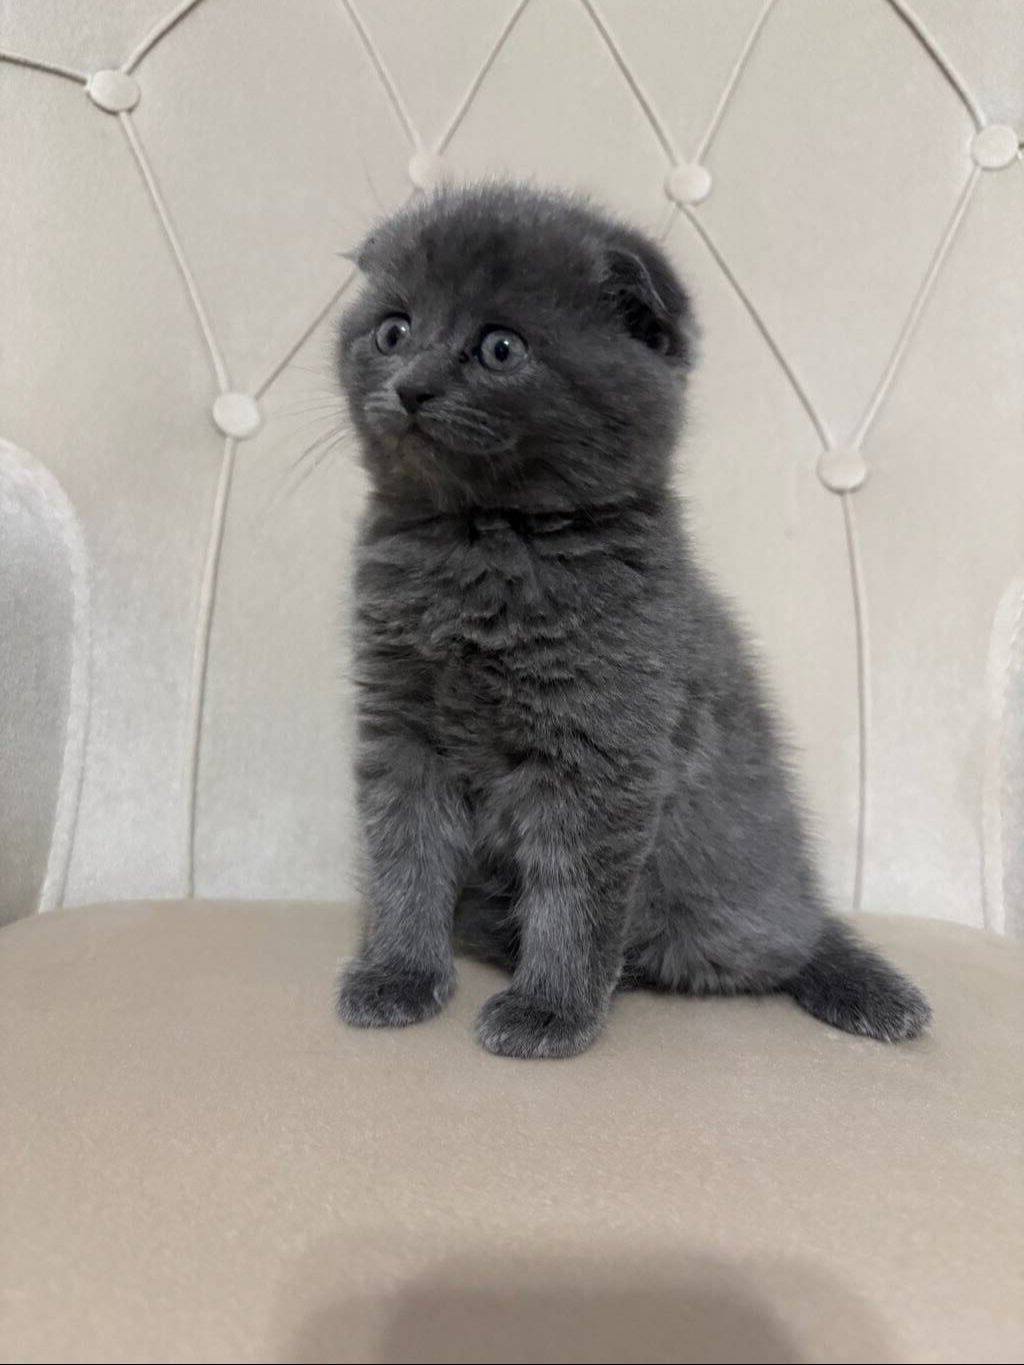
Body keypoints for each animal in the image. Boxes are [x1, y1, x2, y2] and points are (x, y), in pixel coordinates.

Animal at [335, 182, 931, 1059]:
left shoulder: (601, 747)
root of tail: (799, 898)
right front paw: (398, 974)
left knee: (784, 948)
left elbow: (576, 890)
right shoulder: (402, 726)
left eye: (501, 348)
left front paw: (550, 1009)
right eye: (392, 331)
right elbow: (404, 855)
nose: (409, 385)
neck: (482, 541)